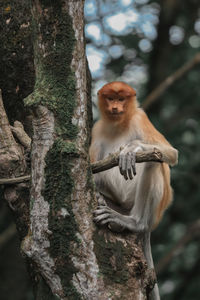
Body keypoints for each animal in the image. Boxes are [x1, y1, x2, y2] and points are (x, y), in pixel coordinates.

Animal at [89, 81, 178, 298]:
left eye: (121, 99)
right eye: (110, 98)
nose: (115, 108)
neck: (118, 125)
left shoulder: (140, 117)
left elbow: (171, 153)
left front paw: (131, 149)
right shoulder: (97, 129)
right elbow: (92, 168)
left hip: (152, 209)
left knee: (154, 161)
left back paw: (134, 222)